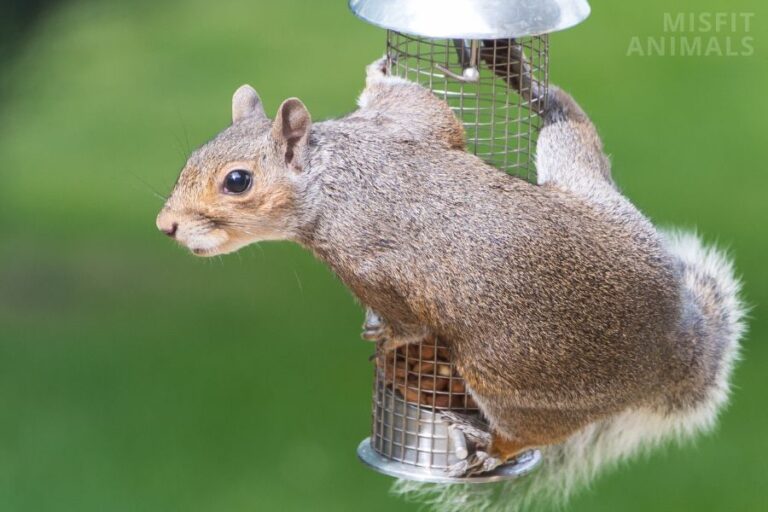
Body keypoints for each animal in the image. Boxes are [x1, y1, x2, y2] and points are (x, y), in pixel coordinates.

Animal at [156, 57, 745, 509]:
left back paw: (487, 446)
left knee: (527, 432)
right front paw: (379, 71)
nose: (166, 226)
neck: (333, 177)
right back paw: (537, 89)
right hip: (586, 184)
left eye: (238, 181)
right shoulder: (397, 127)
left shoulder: (372, 266)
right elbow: (430, 112)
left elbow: (411, 324)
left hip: (507, 373)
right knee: (575, 136)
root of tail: (674, 347)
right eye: (191, 159)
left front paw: (387, 340)